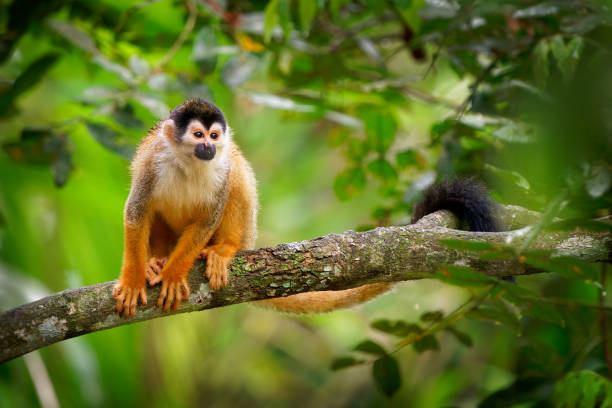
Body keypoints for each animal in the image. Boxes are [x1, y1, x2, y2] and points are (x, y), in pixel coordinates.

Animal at [113, 99, 256, 318]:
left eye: (214, 136)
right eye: (198, 134)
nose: (209, 146)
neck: (190, 163)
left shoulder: (223, 170)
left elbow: (207, 221)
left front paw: (172, 276)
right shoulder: (151, 163)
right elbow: (136, 213)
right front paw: (132, 281)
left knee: (237, 174)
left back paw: (226, 246)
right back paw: (156, 260)